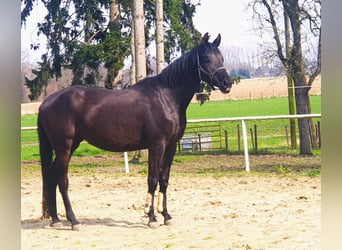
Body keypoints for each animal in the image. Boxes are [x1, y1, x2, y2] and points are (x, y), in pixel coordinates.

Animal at [38, 32, 234, 230]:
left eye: (221, 58)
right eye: (207, 59)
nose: (227, 83)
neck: (166, 97)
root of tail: (46, 102)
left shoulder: (171, 146)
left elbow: (164, 179)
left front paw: (166, 216)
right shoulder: (157, 145)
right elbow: (152, 179)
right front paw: (151, 217)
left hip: (70, 146)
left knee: (52, 176)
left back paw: (55, 219)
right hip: (64, 147)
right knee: (61, 180)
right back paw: (74, 221)